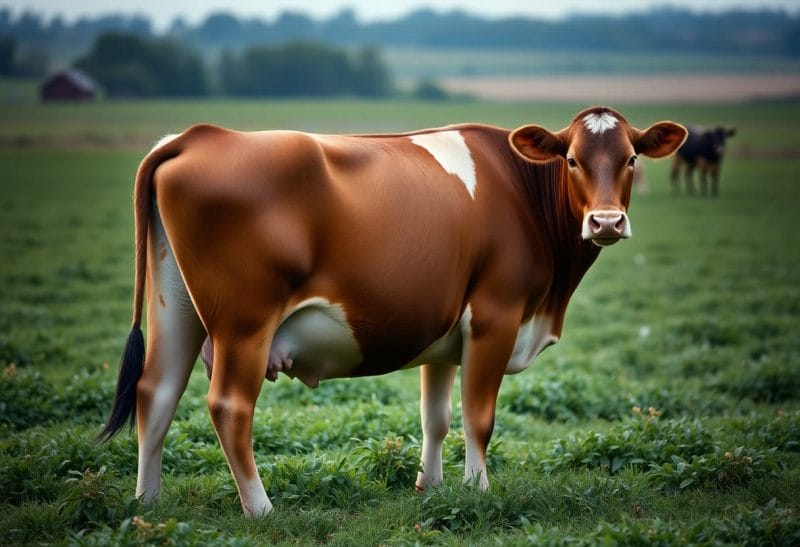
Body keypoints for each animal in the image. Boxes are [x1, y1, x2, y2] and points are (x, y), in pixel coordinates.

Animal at [98, 106, 686, 516]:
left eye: (631, 158)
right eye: (572, 159)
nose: (606, 222)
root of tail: (198, 135)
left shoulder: (445, 335)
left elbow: (437, 417)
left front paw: (433, 487)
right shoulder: (495, 316)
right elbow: (478, 417)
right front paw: (479, 490)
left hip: (176, 309)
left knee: (156, 392)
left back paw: (148, 503)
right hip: (243, 325)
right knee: (228, 407)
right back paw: (261, 509)